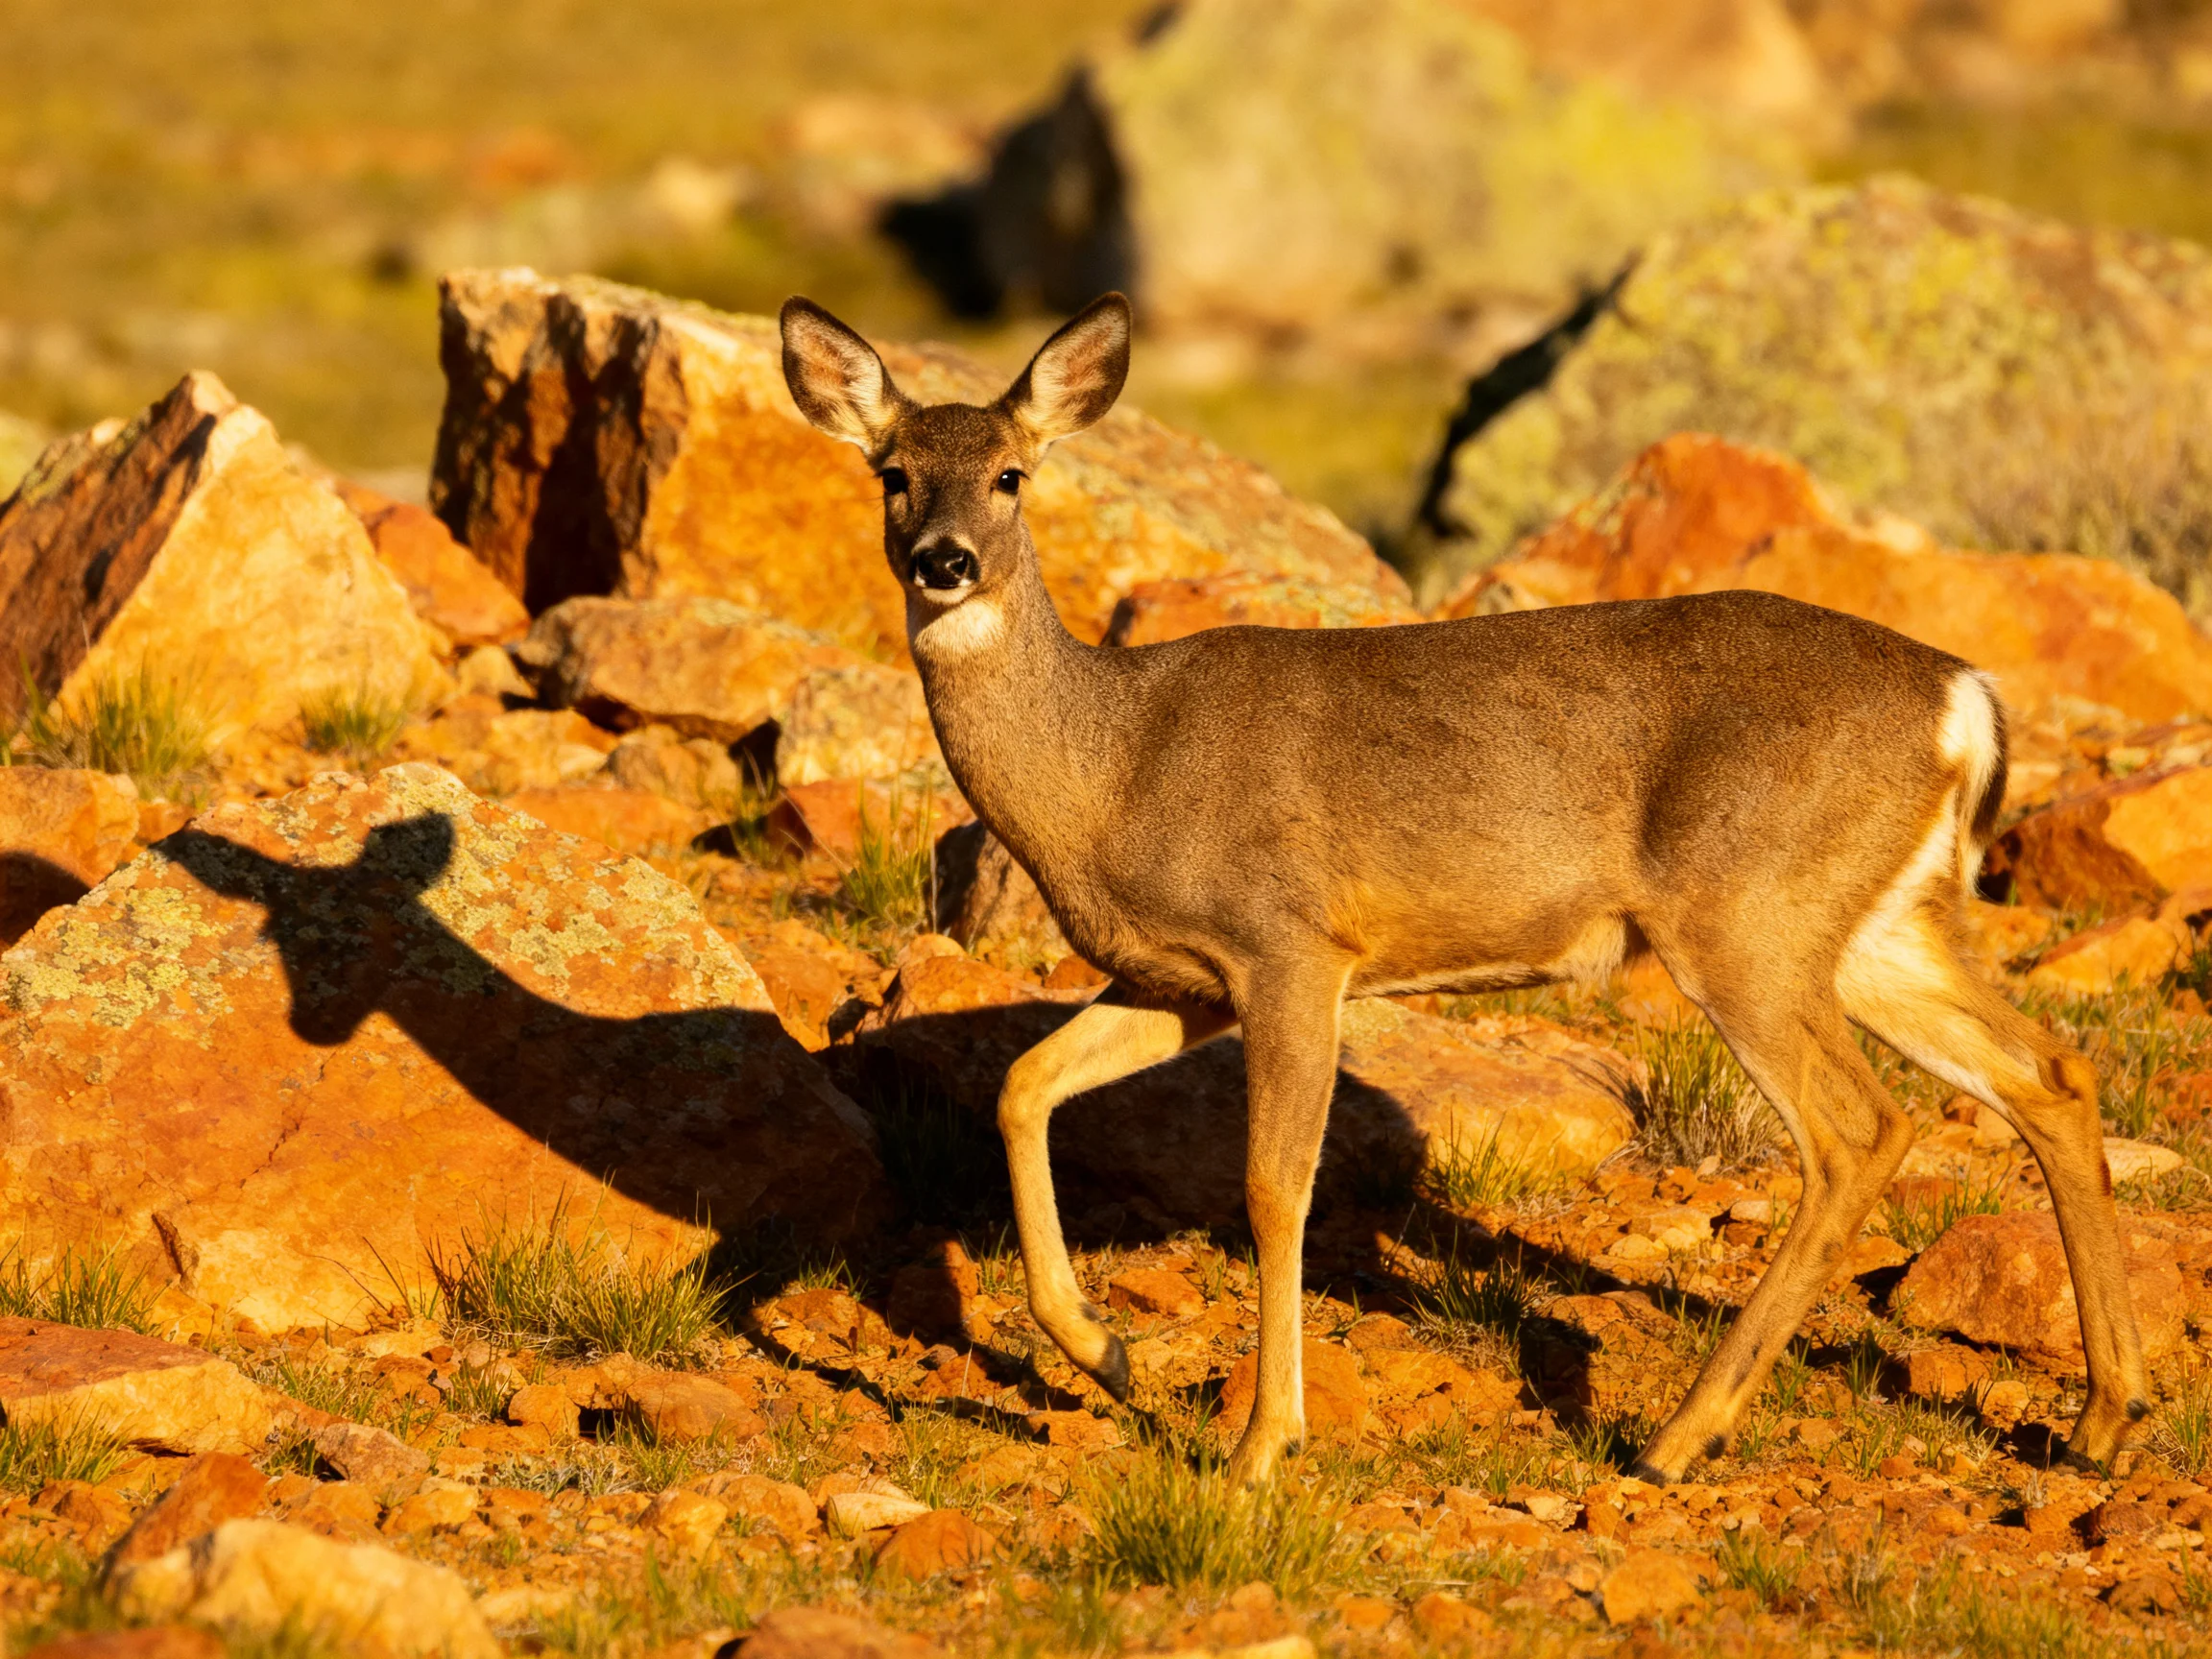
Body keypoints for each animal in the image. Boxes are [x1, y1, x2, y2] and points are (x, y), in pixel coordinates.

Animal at [778, 291, 2147, 1488]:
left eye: (1013, 473)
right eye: (891, 471)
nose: (945, 560)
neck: (1112, 767)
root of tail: (1965, 698)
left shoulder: (1290, 945)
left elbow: (1274, 1187)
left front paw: (1262, 1445)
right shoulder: (1182, 978)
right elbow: (1022, 1085)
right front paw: (1108, 1354)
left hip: (1745, 914)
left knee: (1861, 1131)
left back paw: (1677, 1438)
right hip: (1876, 923)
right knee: (2048, 1072)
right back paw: (2103, 1419)